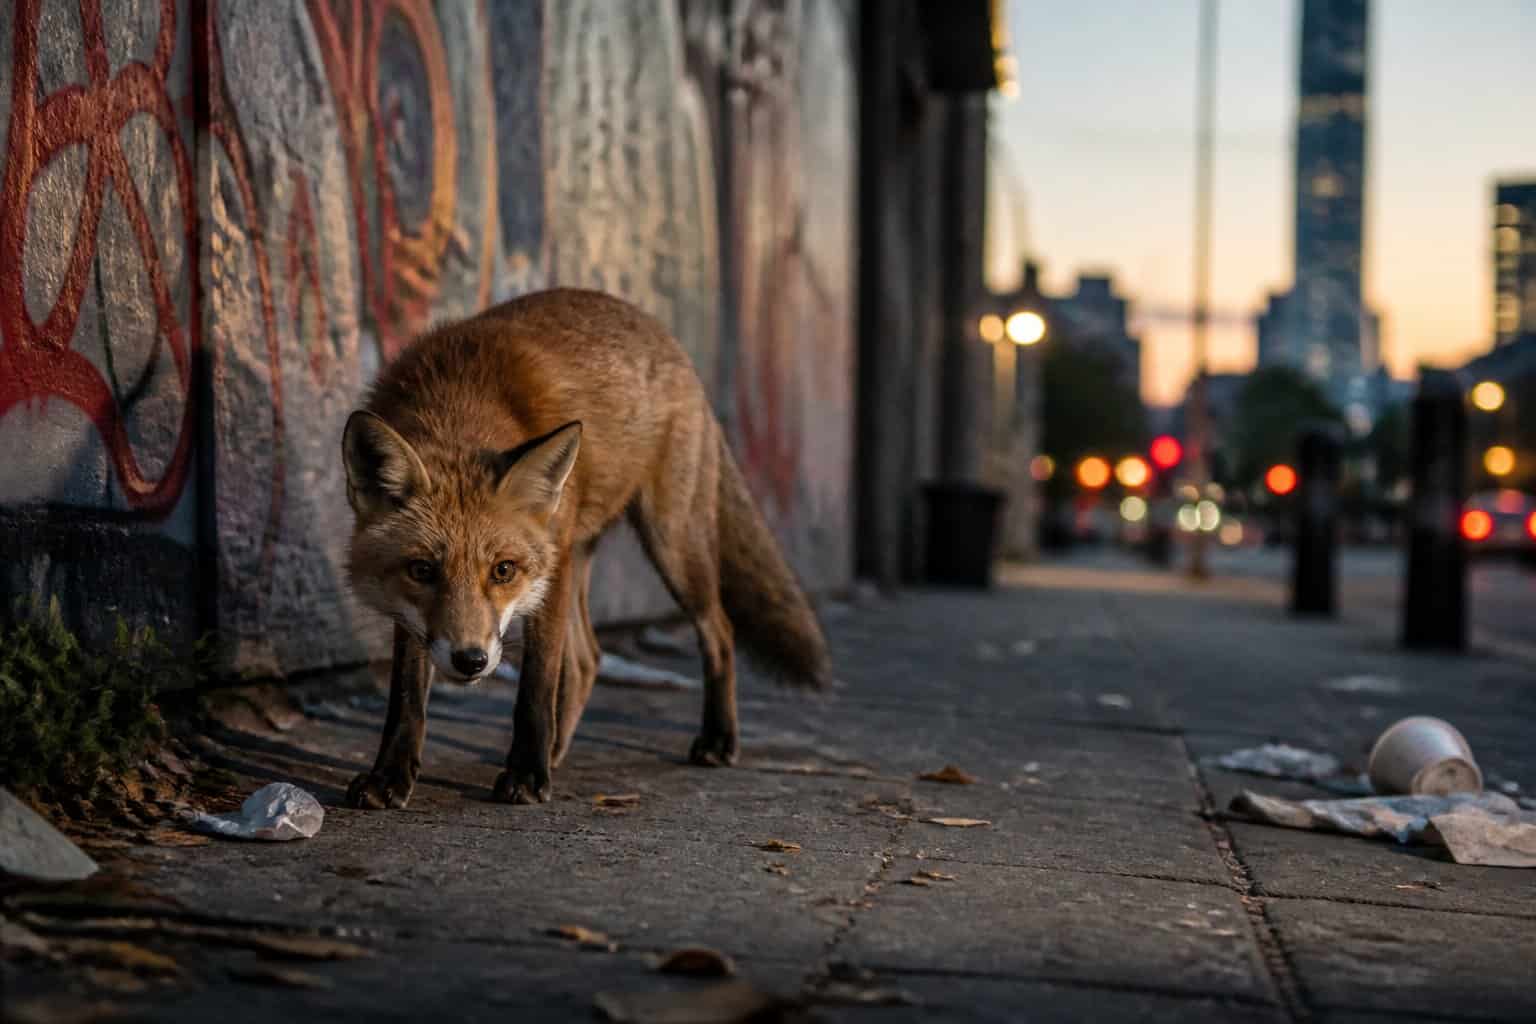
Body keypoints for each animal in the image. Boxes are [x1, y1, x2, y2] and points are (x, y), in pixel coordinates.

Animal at [340, 288, 832, 808]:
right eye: (422, 570)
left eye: (503, 570)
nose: (470, 661)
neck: (457, 400)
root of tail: (663, 335)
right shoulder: (414, 612)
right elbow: (406, 696)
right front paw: (390, 776)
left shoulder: (544, 576)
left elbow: (535, 686)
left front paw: (525, 776)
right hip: (580, 557)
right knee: (586, 660)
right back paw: (555, 752)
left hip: (670, 544)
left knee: (718, 630)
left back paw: (717, 739)